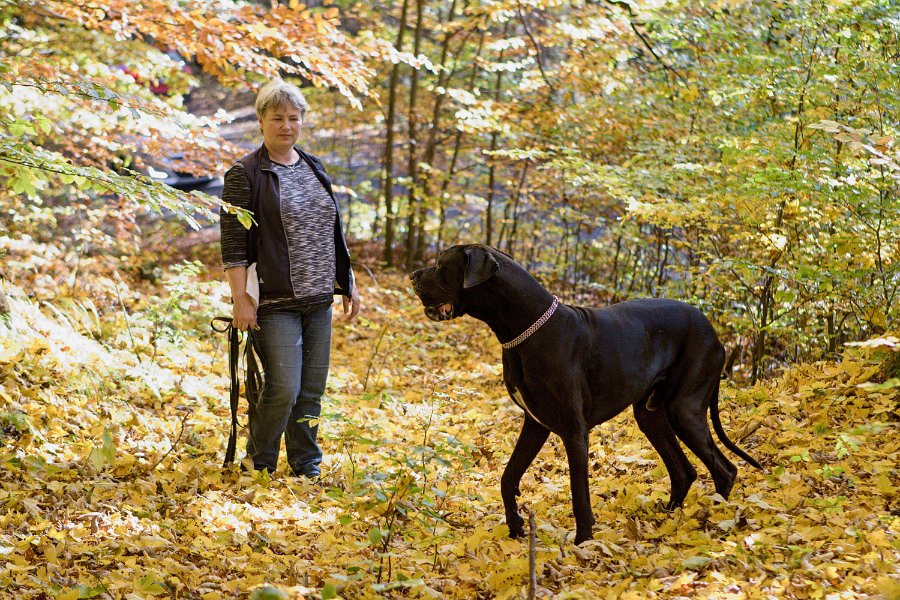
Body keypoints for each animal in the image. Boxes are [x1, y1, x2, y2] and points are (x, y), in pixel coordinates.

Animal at [412, 243, 764, 544]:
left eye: (441, 265)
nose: (413, 275)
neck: (526, 331)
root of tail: (714, 333)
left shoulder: (574, 431)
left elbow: (578, 494)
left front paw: (583, 543)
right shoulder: (534, 424)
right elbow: (507, 477)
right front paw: (514, 528)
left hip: (684, 409)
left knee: (725, 469)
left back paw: (713, 522)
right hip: (651, 415)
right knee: (683, 471)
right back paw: (667, 521)